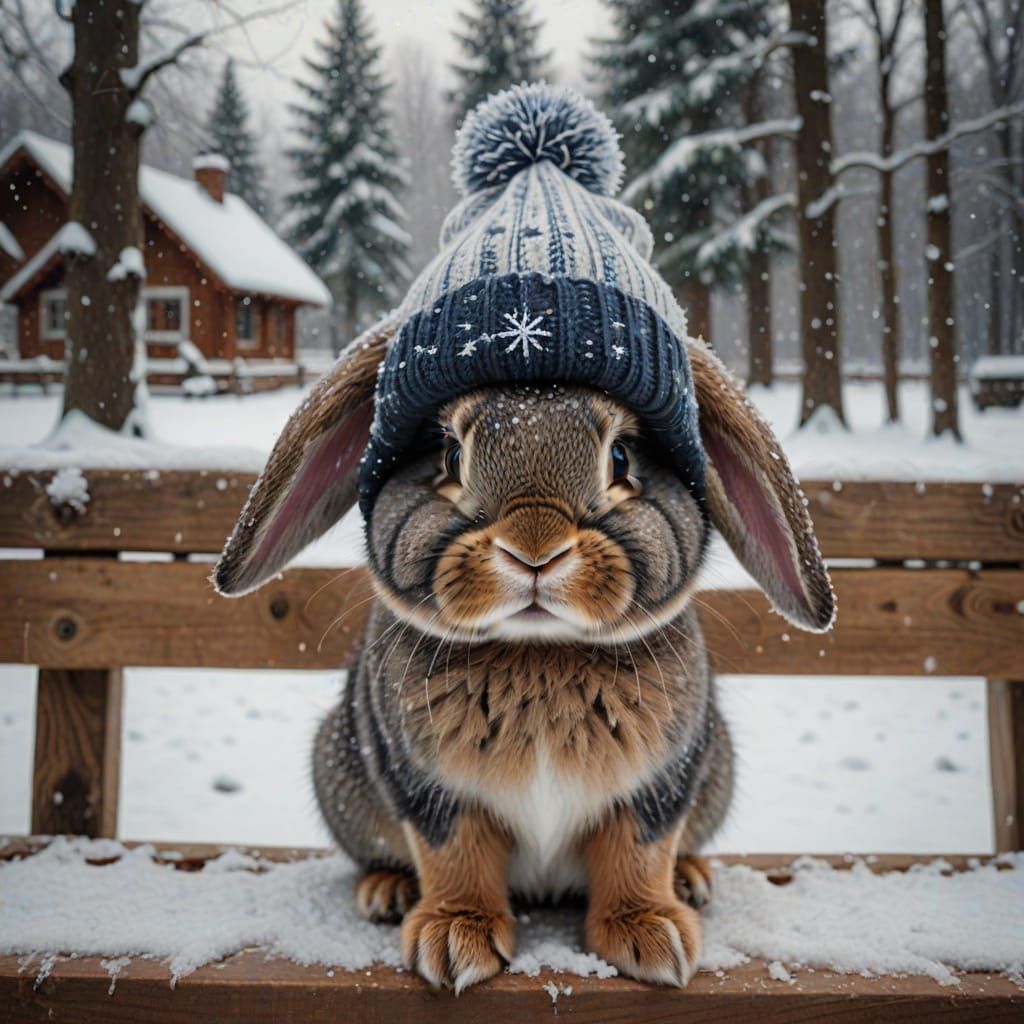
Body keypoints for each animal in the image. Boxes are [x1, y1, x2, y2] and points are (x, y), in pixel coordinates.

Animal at [214, 314, 834, 993]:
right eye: (449, 454)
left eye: (622, 456)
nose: (534, 550)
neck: (539, 651)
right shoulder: (431, 792)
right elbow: (454, 856)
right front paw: (454, 942)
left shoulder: (656, 788)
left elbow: (638, 852)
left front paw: (653, 938)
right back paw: (387, 891)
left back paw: (689, 881)